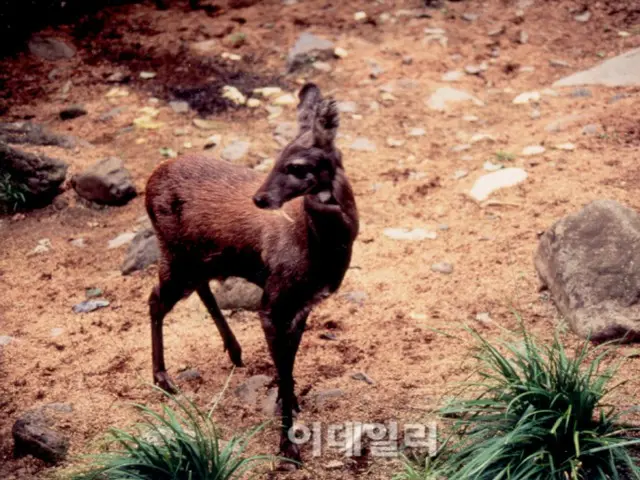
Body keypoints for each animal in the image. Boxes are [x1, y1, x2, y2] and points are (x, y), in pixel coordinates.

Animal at [145, 83, 360, 464]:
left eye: (296, 165)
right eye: (276, 158)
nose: (260, 198)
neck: (314, 247)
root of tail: (149, 181)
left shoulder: (303, 304)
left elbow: (290, 361)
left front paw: (290, 404)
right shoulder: (273, 301)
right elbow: (284, 367)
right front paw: (287, 446)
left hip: (201, 258)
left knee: (200, 289)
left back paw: (234, 351)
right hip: (174, 253)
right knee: (156, 299)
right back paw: (163, 378)